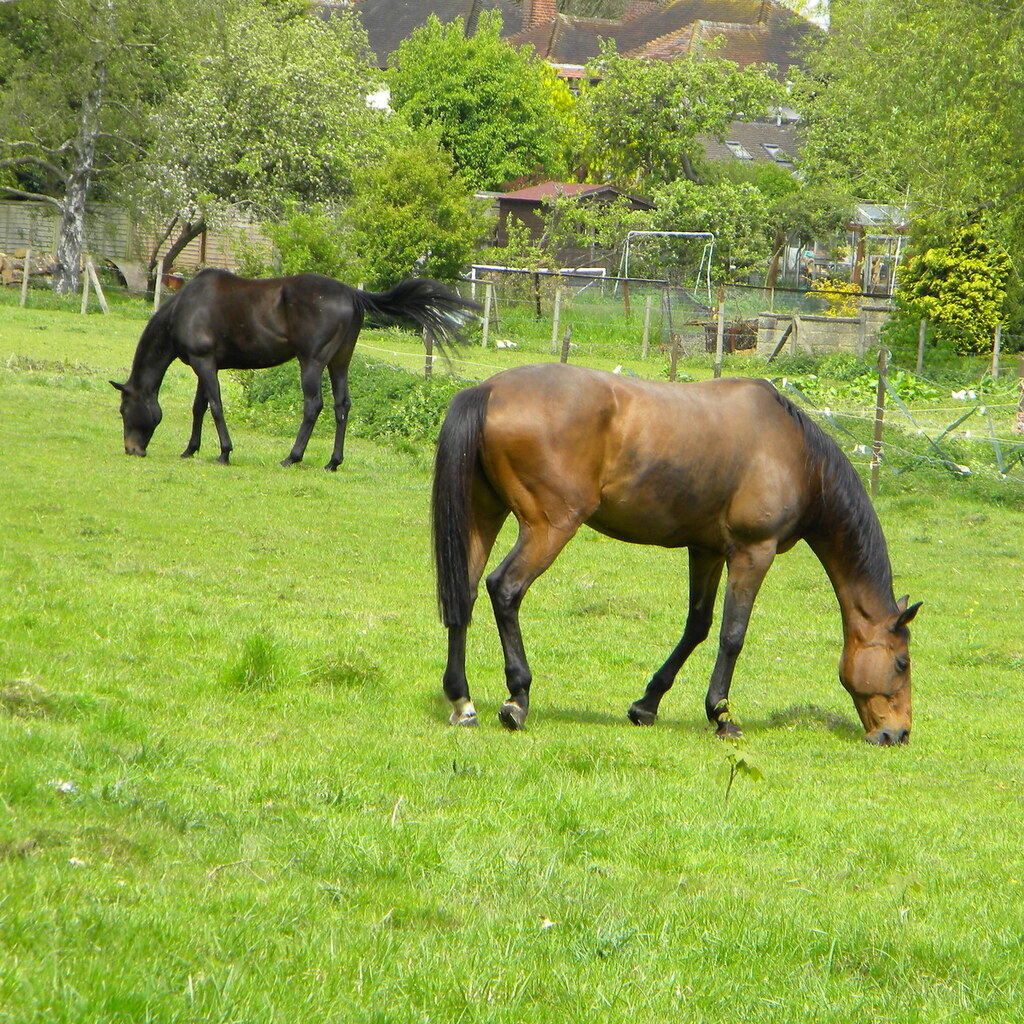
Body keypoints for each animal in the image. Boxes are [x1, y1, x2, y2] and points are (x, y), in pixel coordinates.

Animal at [111, 268, 478, 469]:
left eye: (124, 410)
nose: (131, 450)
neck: (186, 308)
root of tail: (352, 293)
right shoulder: (208, 364)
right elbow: (200, 406)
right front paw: (190, 449)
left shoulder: (204, 363)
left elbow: (214, 407)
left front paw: (224, 453)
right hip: (340, 362)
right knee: (342, 406)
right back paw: (333, 462)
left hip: (312, 363)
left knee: (313, 406)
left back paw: (293, 456)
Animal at [431, 363, 921, 745]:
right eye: (901, 662)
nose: (897, 734)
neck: (794, 455)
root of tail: (489, 390)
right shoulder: (752, 552)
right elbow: (732, 634)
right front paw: (721, 716)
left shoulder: (706, 550)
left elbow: (698, 626)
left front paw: (647, 704)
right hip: (548, 527)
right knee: (505, 588)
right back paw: (517, 698)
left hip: (484, 514)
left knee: (464, 594)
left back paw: (462, 701)